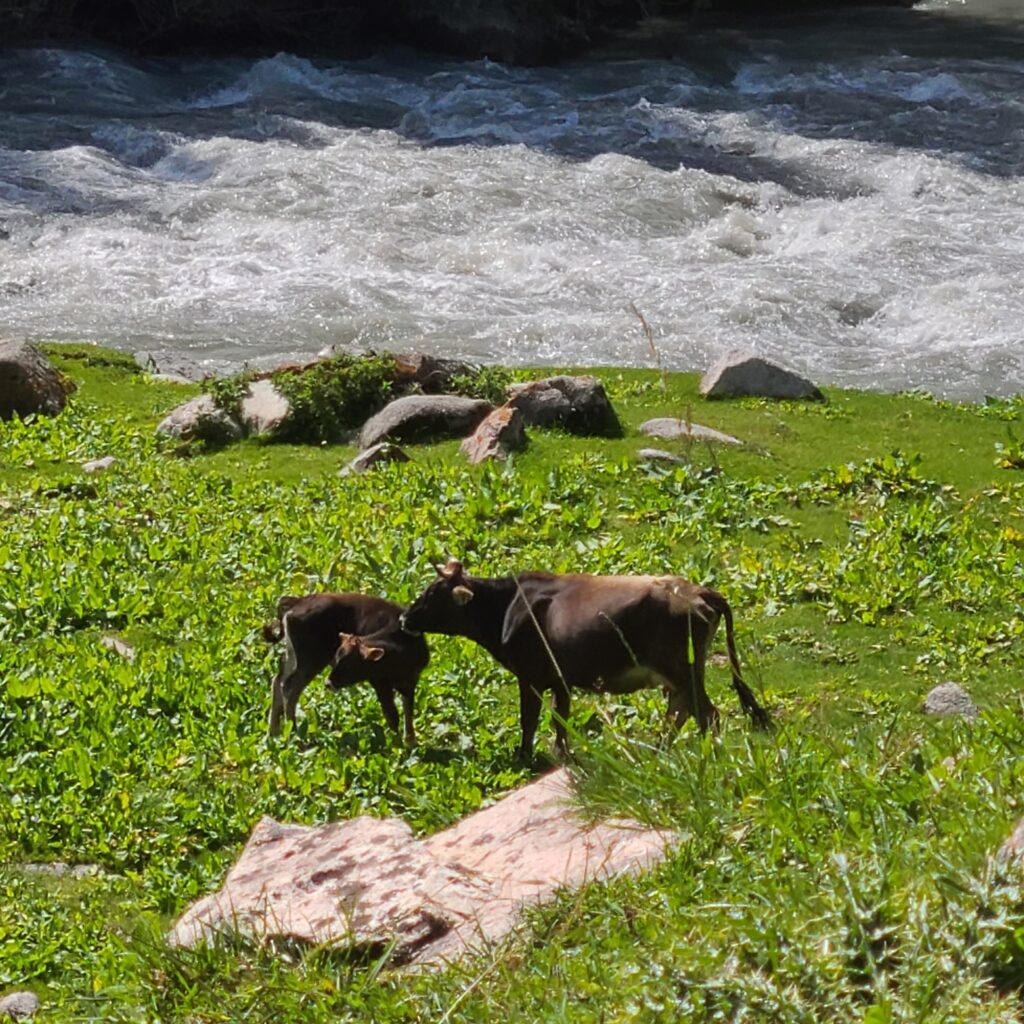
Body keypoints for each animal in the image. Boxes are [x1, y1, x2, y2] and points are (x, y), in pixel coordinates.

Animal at [264, 593, 428, 745]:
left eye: (349, 663)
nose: (328, 683)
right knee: (289, 688)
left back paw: (273, 733)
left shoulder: (411, 680)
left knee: (278, 680)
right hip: (310, 660)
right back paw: (294, 734)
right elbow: (392, 714)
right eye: (337, 659)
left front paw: (411, 742)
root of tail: (298, 602)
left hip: (294, 656)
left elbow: (408, 710)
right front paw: (397, 745)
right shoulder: (379, 682)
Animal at [399, 561, 770, 761]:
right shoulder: (561, 680)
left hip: (682, 668)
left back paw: (708, 754)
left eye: (432, 593)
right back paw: (658, 751)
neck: (508, 607)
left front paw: (524, 756)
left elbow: (529, 719)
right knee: (680, 712)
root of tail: (702, 591)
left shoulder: (530, 676)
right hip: (680, 673)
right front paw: (564, 755)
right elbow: (560, 718)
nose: (404, 618)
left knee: (706, 714)